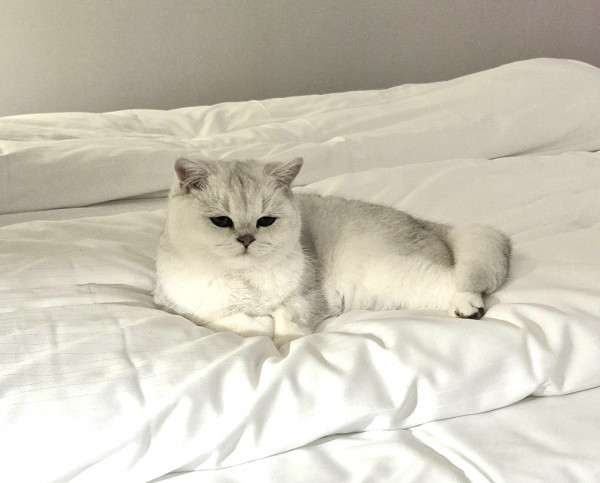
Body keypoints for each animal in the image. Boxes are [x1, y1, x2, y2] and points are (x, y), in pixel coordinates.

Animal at [154, 157, 511, 346]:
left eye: (265, 221)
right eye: (221, 221)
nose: (246, 239)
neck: (247, 280)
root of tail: (435, 226)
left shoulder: (304, 298)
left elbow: (287, 323)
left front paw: (283, 343)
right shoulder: (188, 310)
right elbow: (235, 320)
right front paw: (261, 326)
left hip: (397, 273)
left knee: (454, 280)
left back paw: (468, 307)